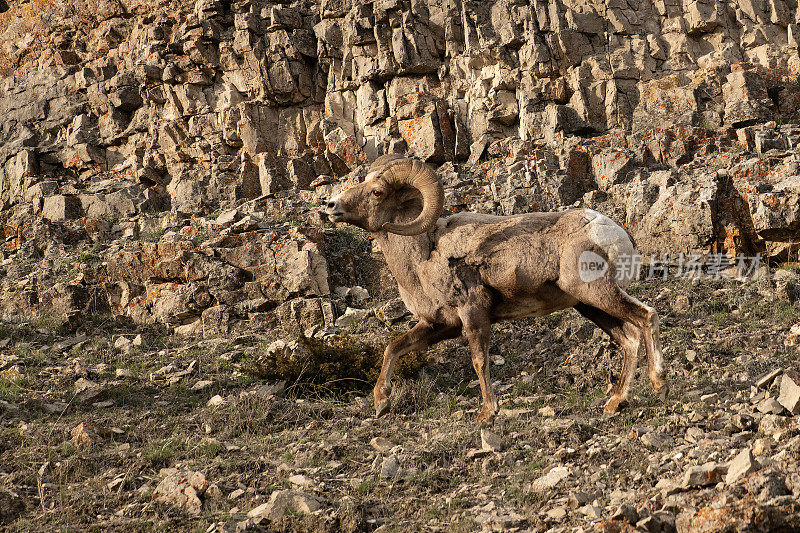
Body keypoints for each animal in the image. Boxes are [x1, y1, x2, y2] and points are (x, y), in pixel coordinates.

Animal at [322, 155, 664, 424]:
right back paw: (615, 403)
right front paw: (381, 403)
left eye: (377, 191)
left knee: (647, 316)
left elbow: (479, 359)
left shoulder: (473, 314)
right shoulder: (439, 324)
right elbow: (393, 347)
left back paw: (659, 385)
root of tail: (615, 233)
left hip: (596, 294)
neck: (422, 257)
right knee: (629, 340)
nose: (331, 205)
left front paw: (488, 413)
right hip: (589, 305)